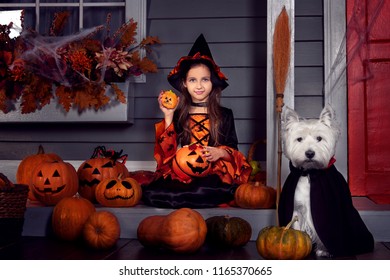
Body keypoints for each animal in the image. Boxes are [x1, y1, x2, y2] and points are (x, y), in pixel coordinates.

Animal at [278, 105, 374, 258]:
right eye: (299, 139)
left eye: (319, 138)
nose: (309, 153)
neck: (310, 173)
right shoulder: (297, 209)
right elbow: (296, 227)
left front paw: (324, 250)